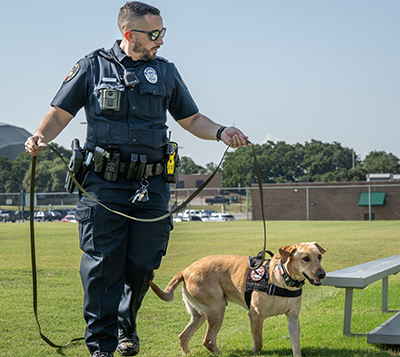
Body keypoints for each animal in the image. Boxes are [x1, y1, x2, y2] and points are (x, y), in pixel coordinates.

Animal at [148, 241, 326, 354]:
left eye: (319, 257)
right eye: (305, 258)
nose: (322, 274)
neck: (283, 279)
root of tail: (185, 270)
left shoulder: (293, 318)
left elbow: (296, 345)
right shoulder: (256, 316)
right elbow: (258, 343)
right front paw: (254, 350)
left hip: (199, 315)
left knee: (183, 336)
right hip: (217, 309)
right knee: (209, 341)